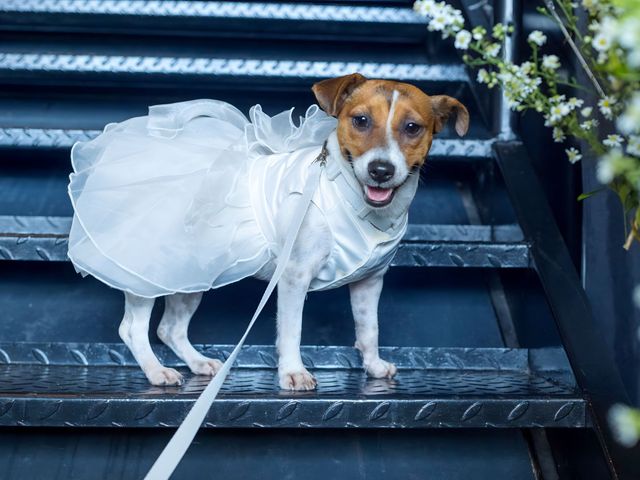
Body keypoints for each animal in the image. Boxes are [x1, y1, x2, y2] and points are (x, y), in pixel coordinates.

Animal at [110, 74, 468, 390]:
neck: (349, 198)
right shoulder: (295, 276)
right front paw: (293, 373)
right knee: (132, 329)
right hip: (147, 273)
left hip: (189, 275)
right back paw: (156, 370)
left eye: (412, 128)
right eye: (361, 120)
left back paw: (198, 362)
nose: (381, 170)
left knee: (169, 328)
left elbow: (370, 328)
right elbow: (292, 330)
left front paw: (373, 365)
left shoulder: (370, 282)